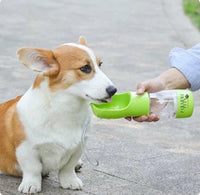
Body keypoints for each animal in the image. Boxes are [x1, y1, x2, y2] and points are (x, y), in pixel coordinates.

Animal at [0, 36, 116, 193]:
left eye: (100, 64)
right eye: (85, 68)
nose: (113, 90)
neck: (66, 109)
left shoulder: (79, 146)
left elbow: (68, 168)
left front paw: (70, 181)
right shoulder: (26, 148)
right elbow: (33, 169)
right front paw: (31, 185)